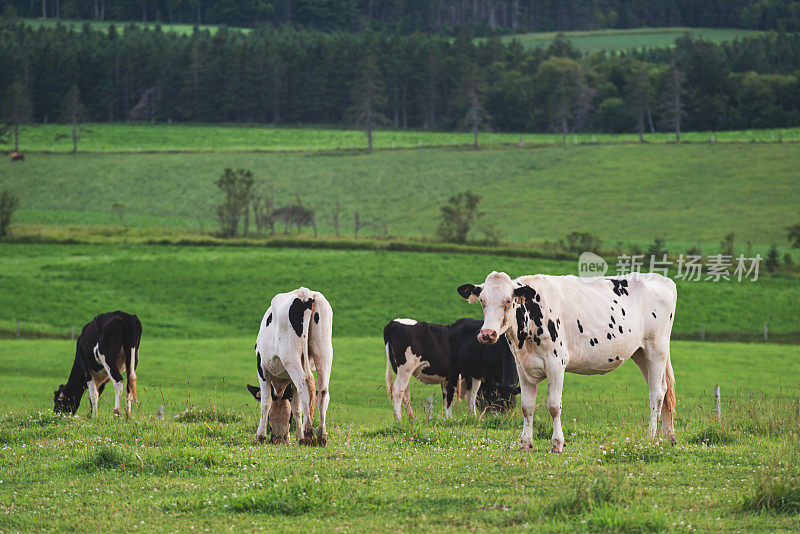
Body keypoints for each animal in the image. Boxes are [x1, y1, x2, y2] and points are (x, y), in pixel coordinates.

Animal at [253, 288, 334, 448]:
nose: (279, 439)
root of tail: (305, 294)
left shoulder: (262, 370)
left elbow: (265, 402)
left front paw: (260, 436)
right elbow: (296, 406)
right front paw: (299, 437)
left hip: (291, 357)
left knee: (305, 387)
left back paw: (309, 435)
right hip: (324, 352)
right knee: (323, 392)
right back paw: (321, 436)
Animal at [382, 318, 520, 422]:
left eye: (511, 400)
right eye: (500, 400)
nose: (503, 418)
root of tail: (393, 323)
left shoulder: (472, 374)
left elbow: (470, 396)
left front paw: (472, 417)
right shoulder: (463, 374)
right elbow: (453, 396)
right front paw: (450, 419)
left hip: (402, 371)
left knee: (405, 392)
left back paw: (411, 418)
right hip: (405, 368)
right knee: (397, 390)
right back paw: (398, 419)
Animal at [456, 274, 676, 454]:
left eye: (508, 301)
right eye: (482, 301)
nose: (487, 334)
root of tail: (662, 279)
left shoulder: (556, 363)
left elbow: (554, 405)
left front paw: (557, 444)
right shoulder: (523, 367)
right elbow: (527, 406)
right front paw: (525, 443)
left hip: (656, 349)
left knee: (656, 393)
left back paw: (651, 437)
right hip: (640, 353)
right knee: (664, 389)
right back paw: (668, 437)